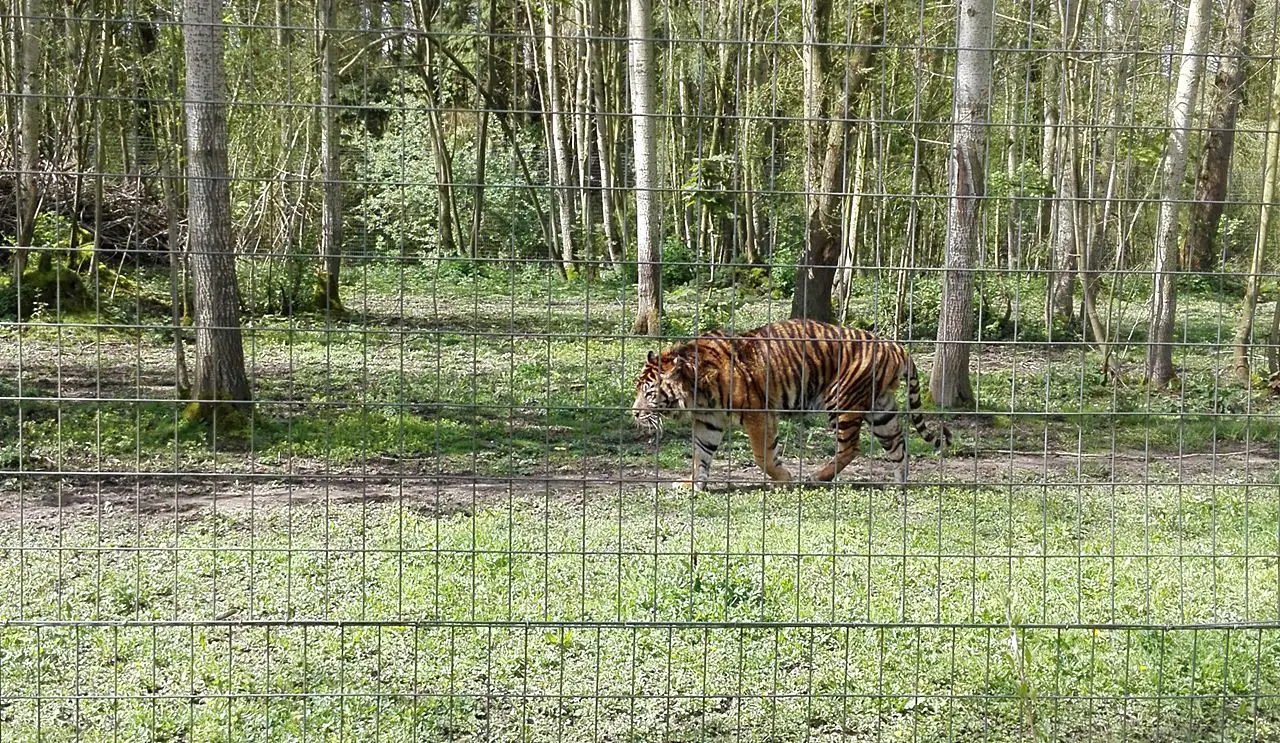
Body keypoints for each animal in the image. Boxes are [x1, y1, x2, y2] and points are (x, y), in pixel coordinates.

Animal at [629, 317, 952, 486]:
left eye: (649, 393)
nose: (634, 414)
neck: (696, 394)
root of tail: (896, 346)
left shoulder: (758, 414)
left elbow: (763, 456)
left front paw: (782, 477)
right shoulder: (708, 422)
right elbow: (700, 455)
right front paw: (691, 484)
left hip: (842, 400)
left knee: (851, 447)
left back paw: (817, 476)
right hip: (880, 408)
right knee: (898, 444)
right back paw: (901, 482)